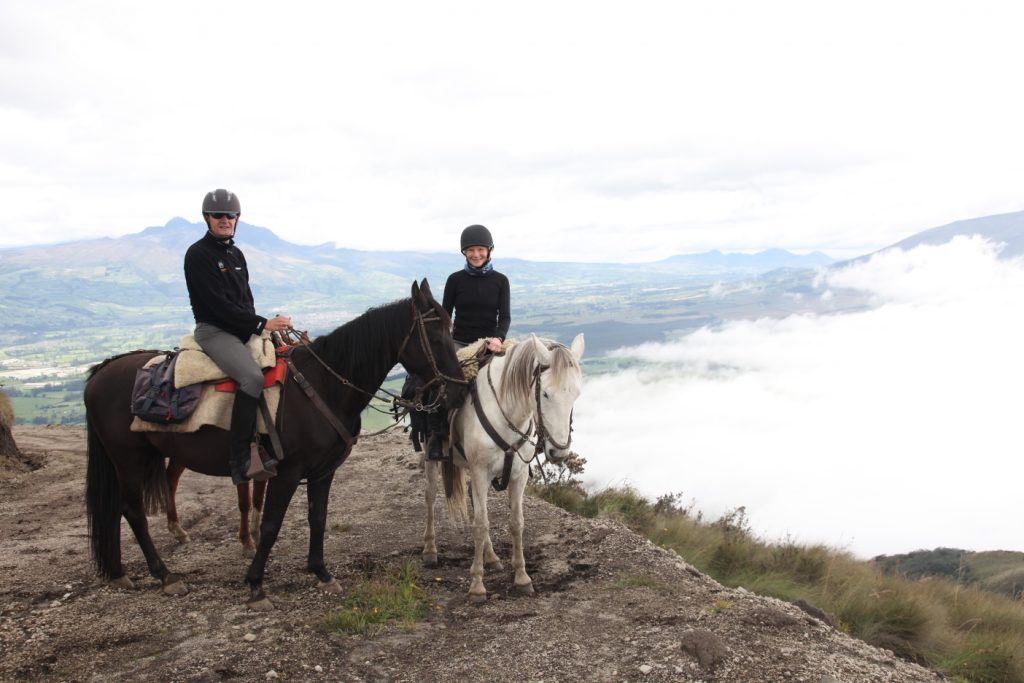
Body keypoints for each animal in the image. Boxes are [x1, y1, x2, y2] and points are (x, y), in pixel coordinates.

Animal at [87, 280, 464, 606]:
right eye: (434, 335)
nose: (458, 389)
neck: (323, 384)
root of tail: (101, 371)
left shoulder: (322, 472)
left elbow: (318, 518)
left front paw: (322, 573)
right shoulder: (286, 472)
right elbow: (270, 525)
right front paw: (256, 584)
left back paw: (120, 572)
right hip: (129, 459)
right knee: (133, 511)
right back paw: (165, 575)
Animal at [421, 333, 585, 602]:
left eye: (576, 394)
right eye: (545, 394)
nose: (559, 452)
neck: (509, 414)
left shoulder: (518, 476)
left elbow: (516, 522)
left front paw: (522, 577)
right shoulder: (480, 472)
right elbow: (480, 525)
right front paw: (477, 586)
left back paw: (491, 557)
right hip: (431, 458)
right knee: (431, 496)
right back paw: (430, 549)